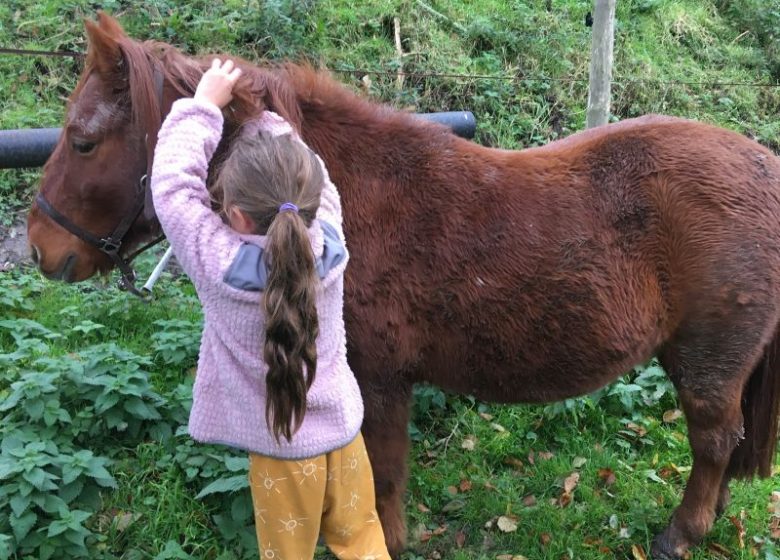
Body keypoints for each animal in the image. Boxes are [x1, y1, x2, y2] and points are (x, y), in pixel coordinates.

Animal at [27, 12, 780, 559]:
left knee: (715, 442)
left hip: (709, 364)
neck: (339, 199)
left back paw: (682, 533)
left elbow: (381, 481)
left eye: (83, 141)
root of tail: (764, 167)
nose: (39, 246)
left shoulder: (382, 382)